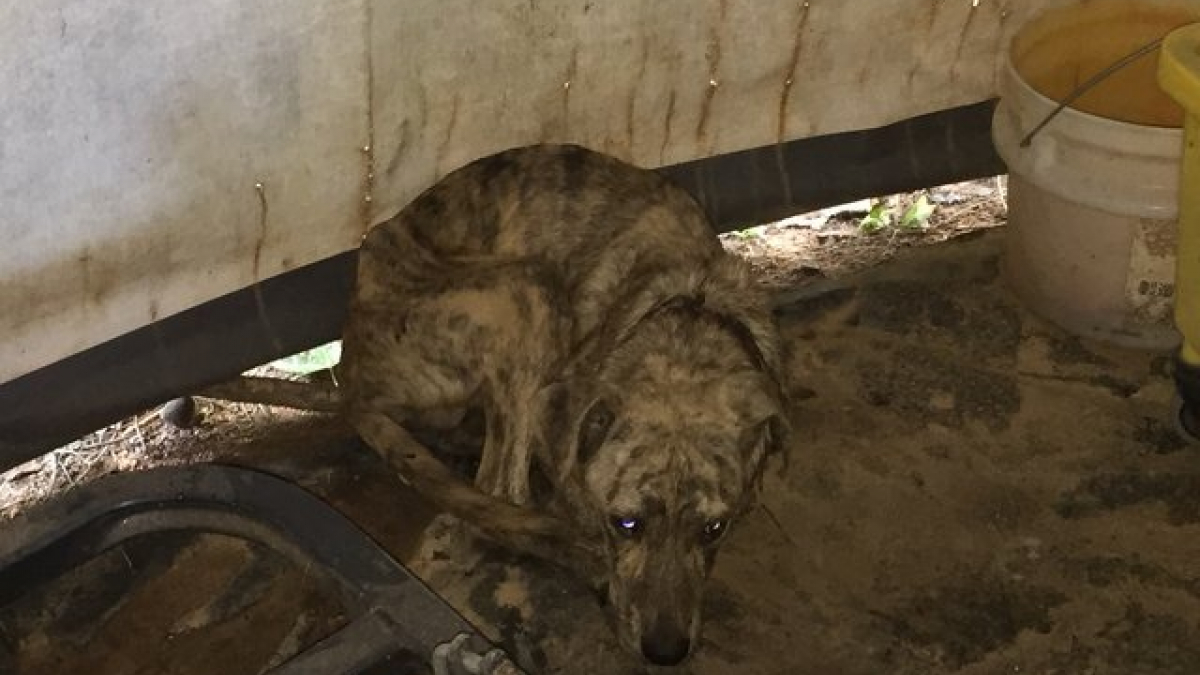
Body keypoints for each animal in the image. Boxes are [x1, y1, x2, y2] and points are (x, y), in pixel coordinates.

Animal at [214, 142, 787, 662]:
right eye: (626, 524)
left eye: (714, 528)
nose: (666, 653)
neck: (687, 319)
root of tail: (350, 369)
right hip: (525, 287)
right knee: (500, 491)